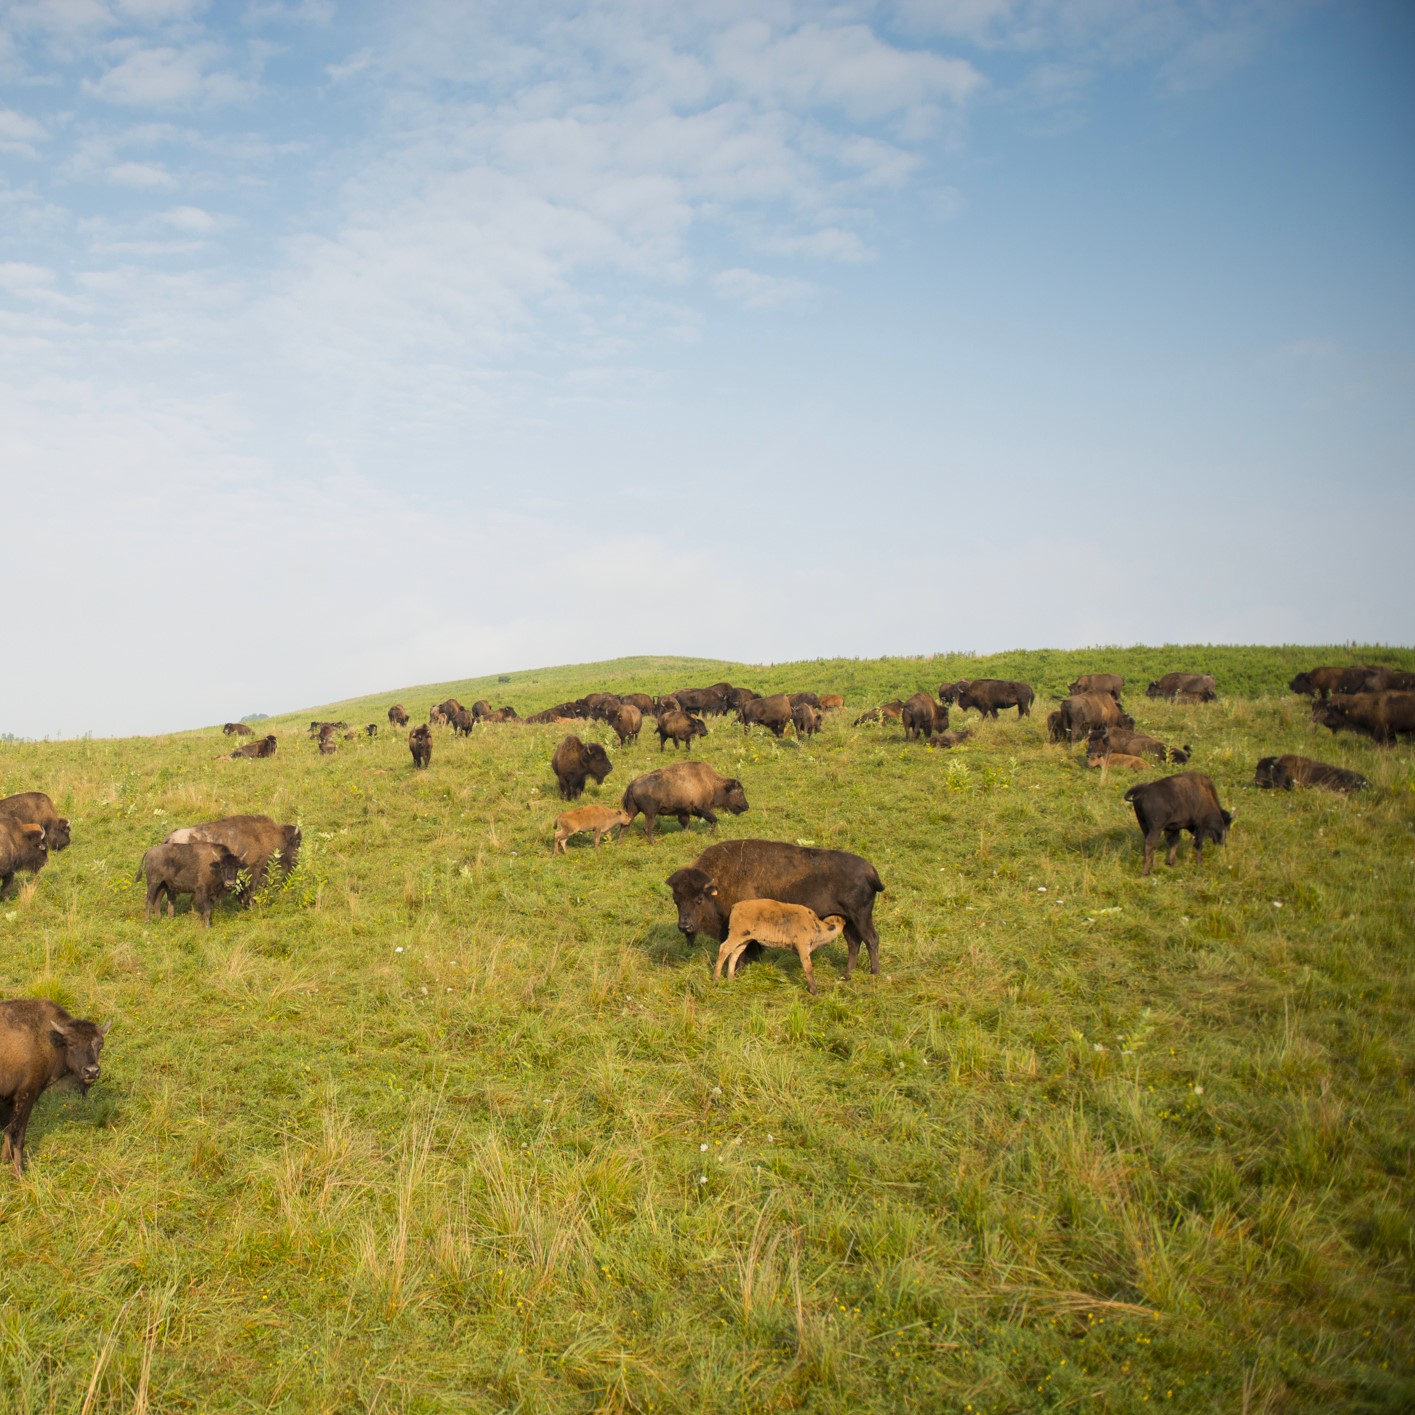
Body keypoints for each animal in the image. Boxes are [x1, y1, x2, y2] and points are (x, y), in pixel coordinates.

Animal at [0, 996, 108, 1182]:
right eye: (71, 1043)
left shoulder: (10, 1099)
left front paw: (5, 1159)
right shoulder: (27, 1095)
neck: (47, 1039)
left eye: (99, 1045)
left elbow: (8, 1130)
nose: (92, 1071)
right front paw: (19, 1171)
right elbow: (19, 1135)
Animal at [622, 764, 752, 837]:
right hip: (650, 813)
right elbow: (714, 819)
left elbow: (686, 824)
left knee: (625, 826)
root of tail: (632, 785)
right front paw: (708, 834)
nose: (747, 806)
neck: (711, 783)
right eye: (740, 792)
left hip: (633, 810)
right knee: (647, 828)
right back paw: (654, 844)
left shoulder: (683, 812)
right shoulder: (701, 808)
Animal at [665, 832, 882, 979]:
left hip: (861, 917)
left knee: (871, 939)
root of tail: (871, 870)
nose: (684, 926)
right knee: (854, 943)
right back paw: (846, 975)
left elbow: (743, 949)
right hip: (848, 920)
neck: (718, 883)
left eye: (698, 899)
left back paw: (874, 973)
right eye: (676, 899)